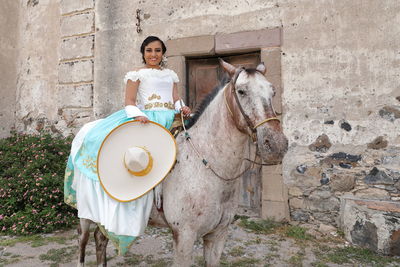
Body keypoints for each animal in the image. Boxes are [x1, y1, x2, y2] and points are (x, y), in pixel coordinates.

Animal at [76, 59, 288, 266]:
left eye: (273, 92)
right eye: (242, 91)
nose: (276, 145)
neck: (205, 167)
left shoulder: (218, 235)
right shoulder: (184, 237)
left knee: (100, 238)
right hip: (85, 214)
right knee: (83, 240)